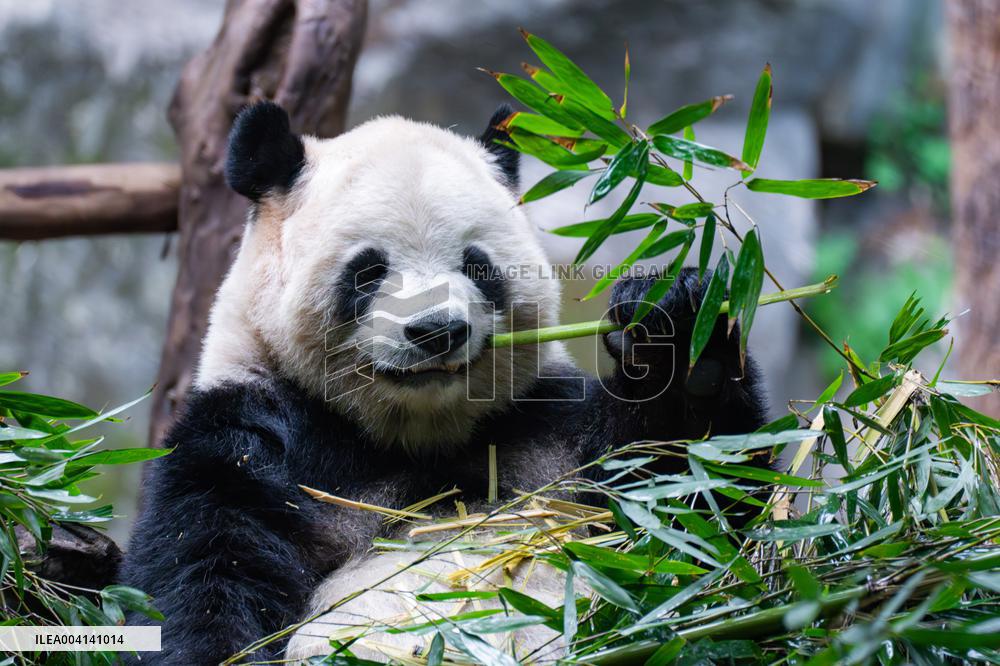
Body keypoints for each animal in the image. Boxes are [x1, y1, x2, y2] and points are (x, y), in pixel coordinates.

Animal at [119, 101, 768, 665]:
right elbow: (202, 569)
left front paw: (683, 328)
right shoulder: (253, 436)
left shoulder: (549, 426)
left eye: (476, 265)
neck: (416, 433)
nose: (437, 331)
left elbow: (688, 500)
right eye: (369, 270)